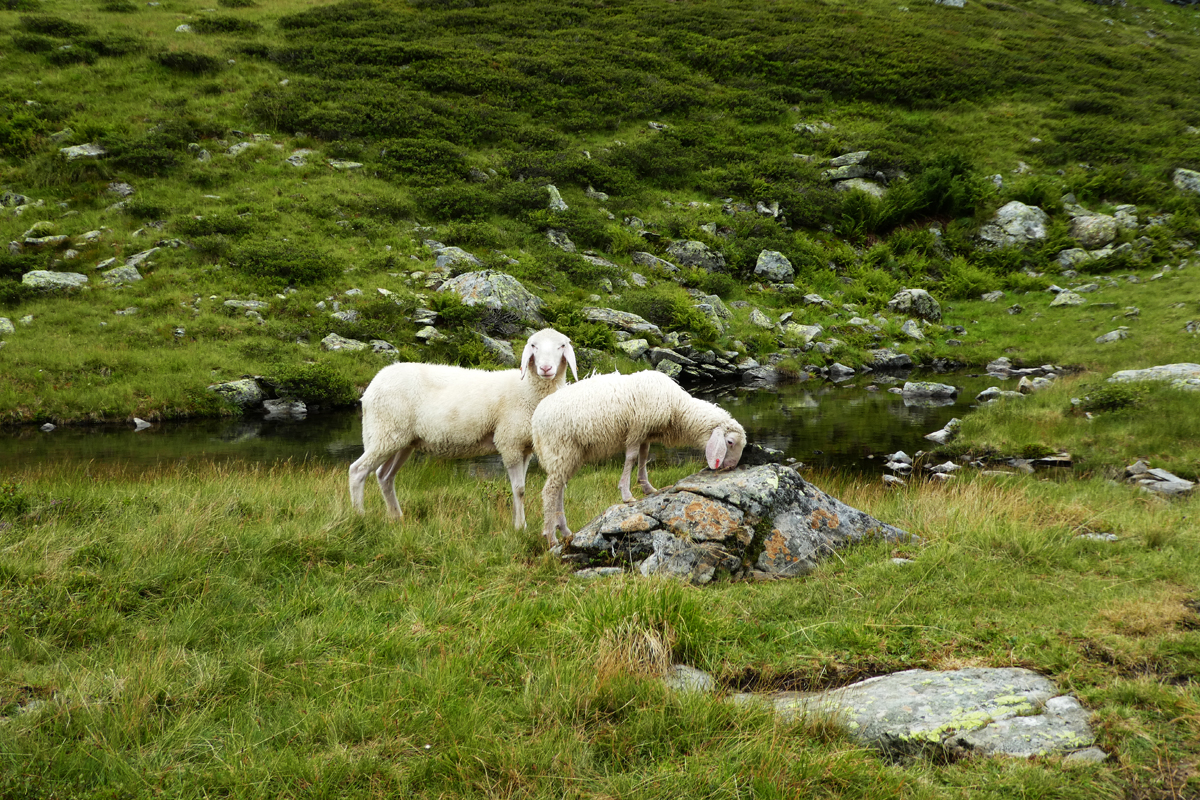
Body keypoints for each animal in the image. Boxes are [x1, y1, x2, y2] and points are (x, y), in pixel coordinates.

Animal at [348, 328, 576, 527]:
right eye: (533, 346)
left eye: (562, 345)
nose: (545, 369)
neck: (527, 390)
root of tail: (372, 386)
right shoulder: (509, 442)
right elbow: (519, 489)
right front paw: (520, 527)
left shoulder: (524, 447)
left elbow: (522, 488)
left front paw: (519, 524)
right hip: (384, 432)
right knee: (358, 471)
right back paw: (359, 517)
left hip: (401, 440)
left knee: (384, 476)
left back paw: (396, 517)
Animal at [532, 371, 744, 546]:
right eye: (730, 442)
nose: (731, 467)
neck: (678, 408)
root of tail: (536, 419)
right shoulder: (636, 428)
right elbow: (632, 457)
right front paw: (626, 494)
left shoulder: (645, 433)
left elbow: (643, 456)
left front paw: (647, 487)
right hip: (561, 449)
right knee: (550, 491)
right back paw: (551, 536)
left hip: (569, 455)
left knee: (559, 489)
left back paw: (565, 531)